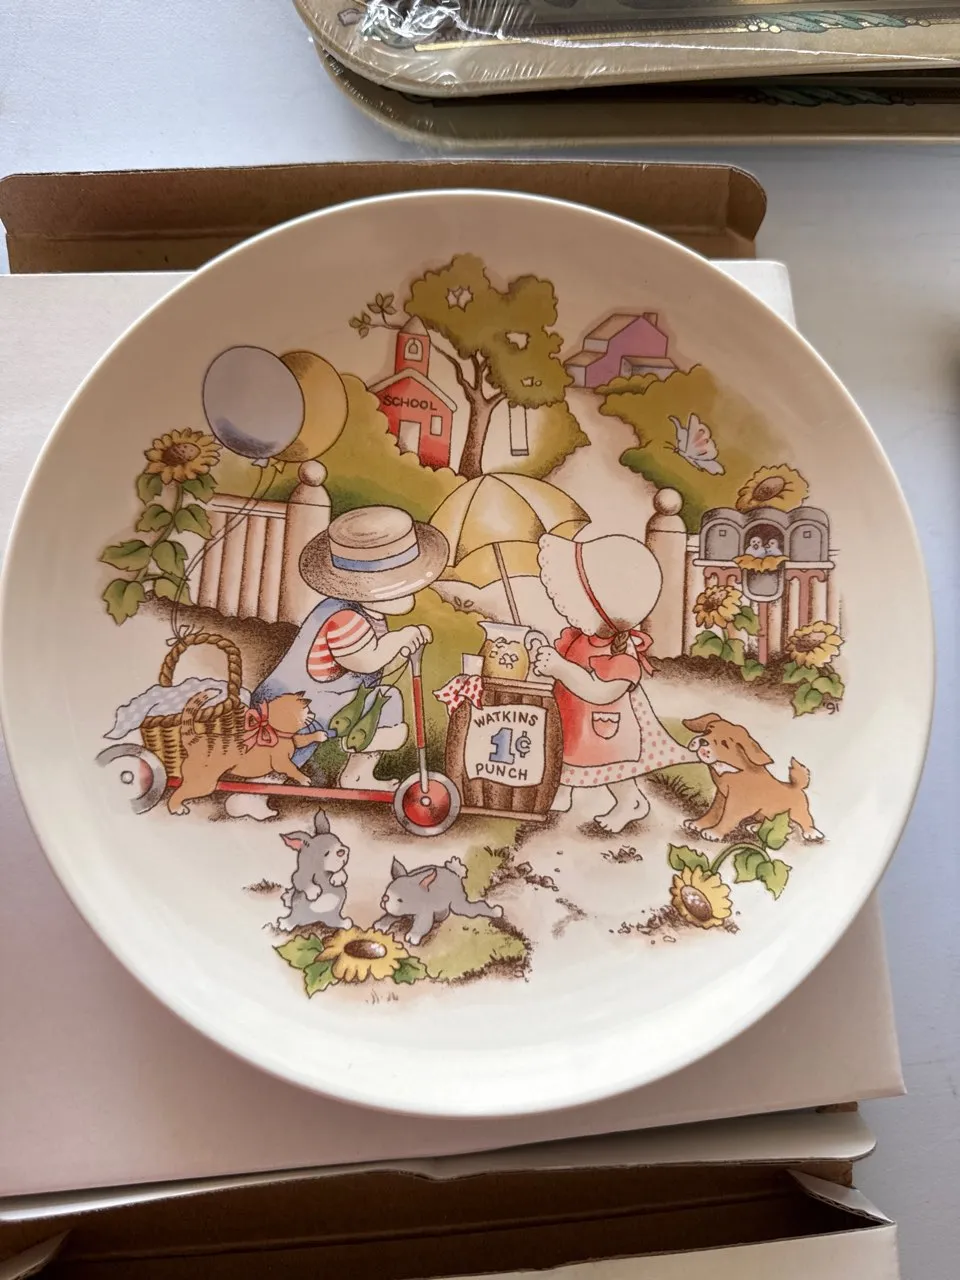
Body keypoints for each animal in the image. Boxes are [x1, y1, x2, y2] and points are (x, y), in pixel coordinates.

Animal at [168, 691, 327, 815]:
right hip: (204, 784)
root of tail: (196, 740)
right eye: (308, 710)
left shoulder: (293, 740)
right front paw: (303, 778)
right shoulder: (281, 762)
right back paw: (176, 808)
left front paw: (319, 735)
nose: (314, 714)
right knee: (179, 792)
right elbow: (292, 768)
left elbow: (303, 738)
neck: (274, 729)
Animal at [374, 857, 503, 946]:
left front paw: (412, 937)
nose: (384, 899)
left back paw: (496, 911)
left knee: (466, 909)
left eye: (400, 899)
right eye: (386, 893)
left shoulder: (425, 912)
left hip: (456, 899)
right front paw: (380, 925)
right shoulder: (397, 910)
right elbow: (390, 916)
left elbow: (422, 924)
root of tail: (454, 874)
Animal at [681, 713, 823, 843]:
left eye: (724, 743)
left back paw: (812, 833)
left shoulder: (737, 804)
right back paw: (756, 827)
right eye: (707, 731)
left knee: (805, 820)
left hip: (797, 811)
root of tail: (796, 786)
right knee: (787, 826)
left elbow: (727, 819)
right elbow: (713, 813)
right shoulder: (721, 797)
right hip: (765, 814)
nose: (703, 741)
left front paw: (714, 833)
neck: (734, 770)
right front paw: (697, 824)